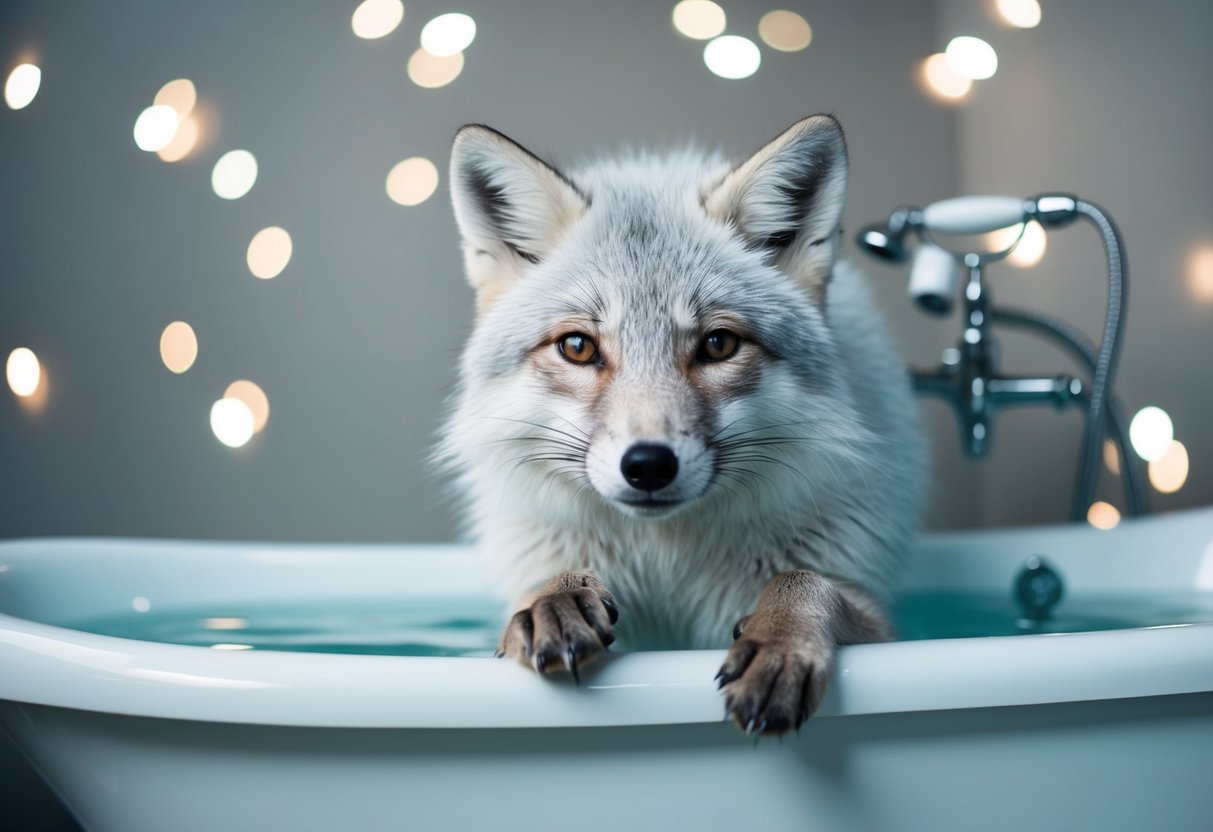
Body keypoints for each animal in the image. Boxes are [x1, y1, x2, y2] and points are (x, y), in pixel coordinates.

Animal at [437, 114, 926, 737]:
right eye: (578, 347)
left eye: (718, 344)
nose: (648, 466)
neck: (666, 564)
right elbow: (549, 583)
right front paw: (557, 598)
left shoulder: (879, 620)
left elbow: (803, 581)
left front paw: (781, 639)